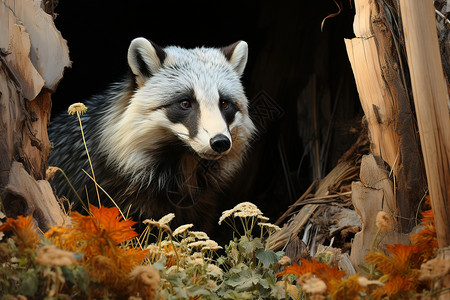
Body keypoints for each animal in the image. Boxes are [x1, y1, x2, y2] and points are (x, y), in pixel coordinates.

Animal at [48, 37, 256, 230]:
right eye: (185, 103)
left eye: (224, 104)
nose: (220, 142)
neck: (185, 161)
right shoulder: (103, 192)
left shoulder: (202, 202)